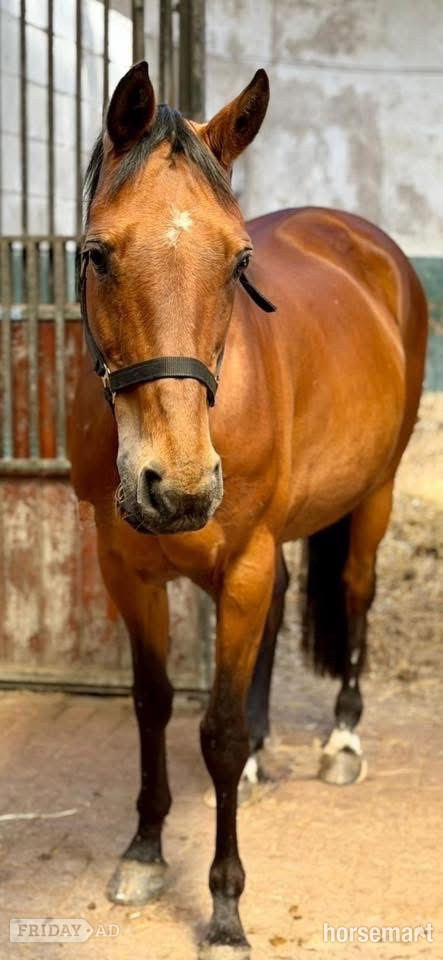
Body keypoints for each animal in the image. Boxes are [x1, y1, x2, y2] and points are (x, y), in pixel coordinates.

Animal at [69, 61, 428, 959]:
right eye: (96, 255)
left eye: (237, 264)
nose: (179, 487)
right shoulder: (125, 567)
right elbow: (154, 705)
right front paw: (144, 852)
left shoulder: (242, 561)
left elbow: (218, 732)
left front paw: (226, 909)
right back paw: (272, 752)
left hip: (372, 494)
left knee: (356, 593)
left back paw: (341, 741)